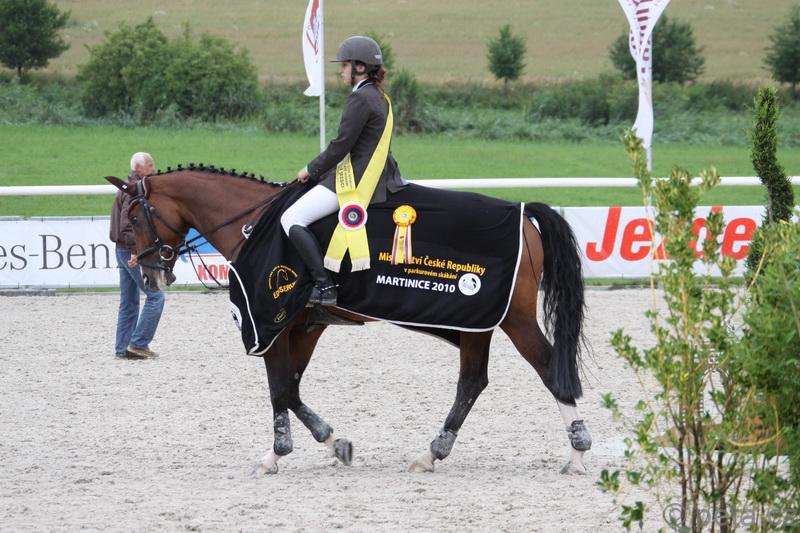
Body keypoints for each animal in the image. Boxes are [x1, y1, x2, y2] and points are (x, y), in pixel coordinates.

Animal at [106, 166, 592, 476]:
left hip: (513, 320)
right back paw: (433, 453)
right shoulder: (306, 326)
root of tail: (524, 214)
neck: (254, 224)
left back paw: (577, 454)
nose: (147, 272)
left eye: (135, 216)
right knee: (473, 382)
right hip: (478, 323)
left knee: (549, 369)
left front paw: (275, 456)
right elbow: (293, 389)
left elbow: (279, 388)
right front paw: (333, 442)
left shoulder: (274, 323)